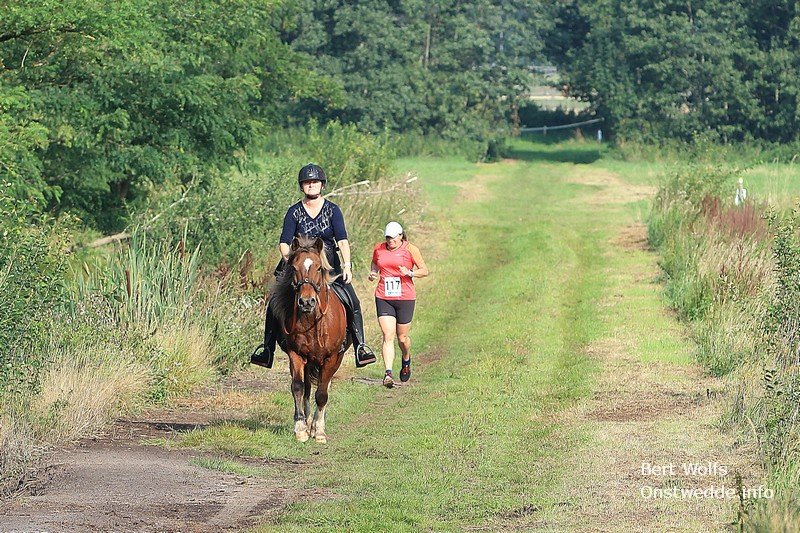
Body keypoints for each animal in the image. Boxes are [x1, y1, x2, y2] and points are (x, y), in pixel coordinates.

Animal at [271, 235, 351, 443]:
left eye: (319, 268)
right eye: (294, 268)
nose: (306, 302)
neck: (311, 320)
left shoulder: (331, 357)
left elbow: (322, 394)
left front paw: (319, 431)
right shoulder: (296, 354)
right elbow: (298, 387)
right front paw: (301, 428)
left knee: (324, 387)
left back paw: (315, 425)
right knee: (307, 389)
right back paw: (308, 423)